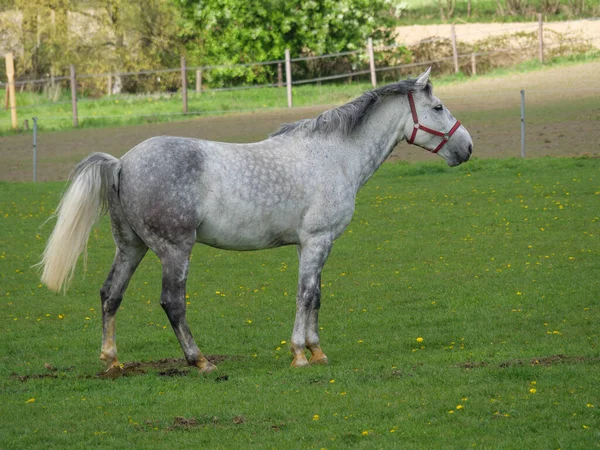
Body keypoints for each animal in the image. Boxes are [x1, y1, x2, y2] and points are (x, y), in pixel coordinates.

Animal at [39, 68, 474, 372]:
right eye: (438, 108)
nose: (467, 146)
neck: (334, 155)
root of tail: (122, 162)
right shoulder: (316, 241)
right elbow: (305, 295)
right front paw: (300, 354)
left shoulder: (315, 245)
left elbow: (316, 295)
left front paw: (317, 351)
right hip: (174, 250)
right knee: (172, 302)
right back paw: (200, 361)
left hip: (131, 246)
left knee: (110, 295)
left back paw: (112, 360)